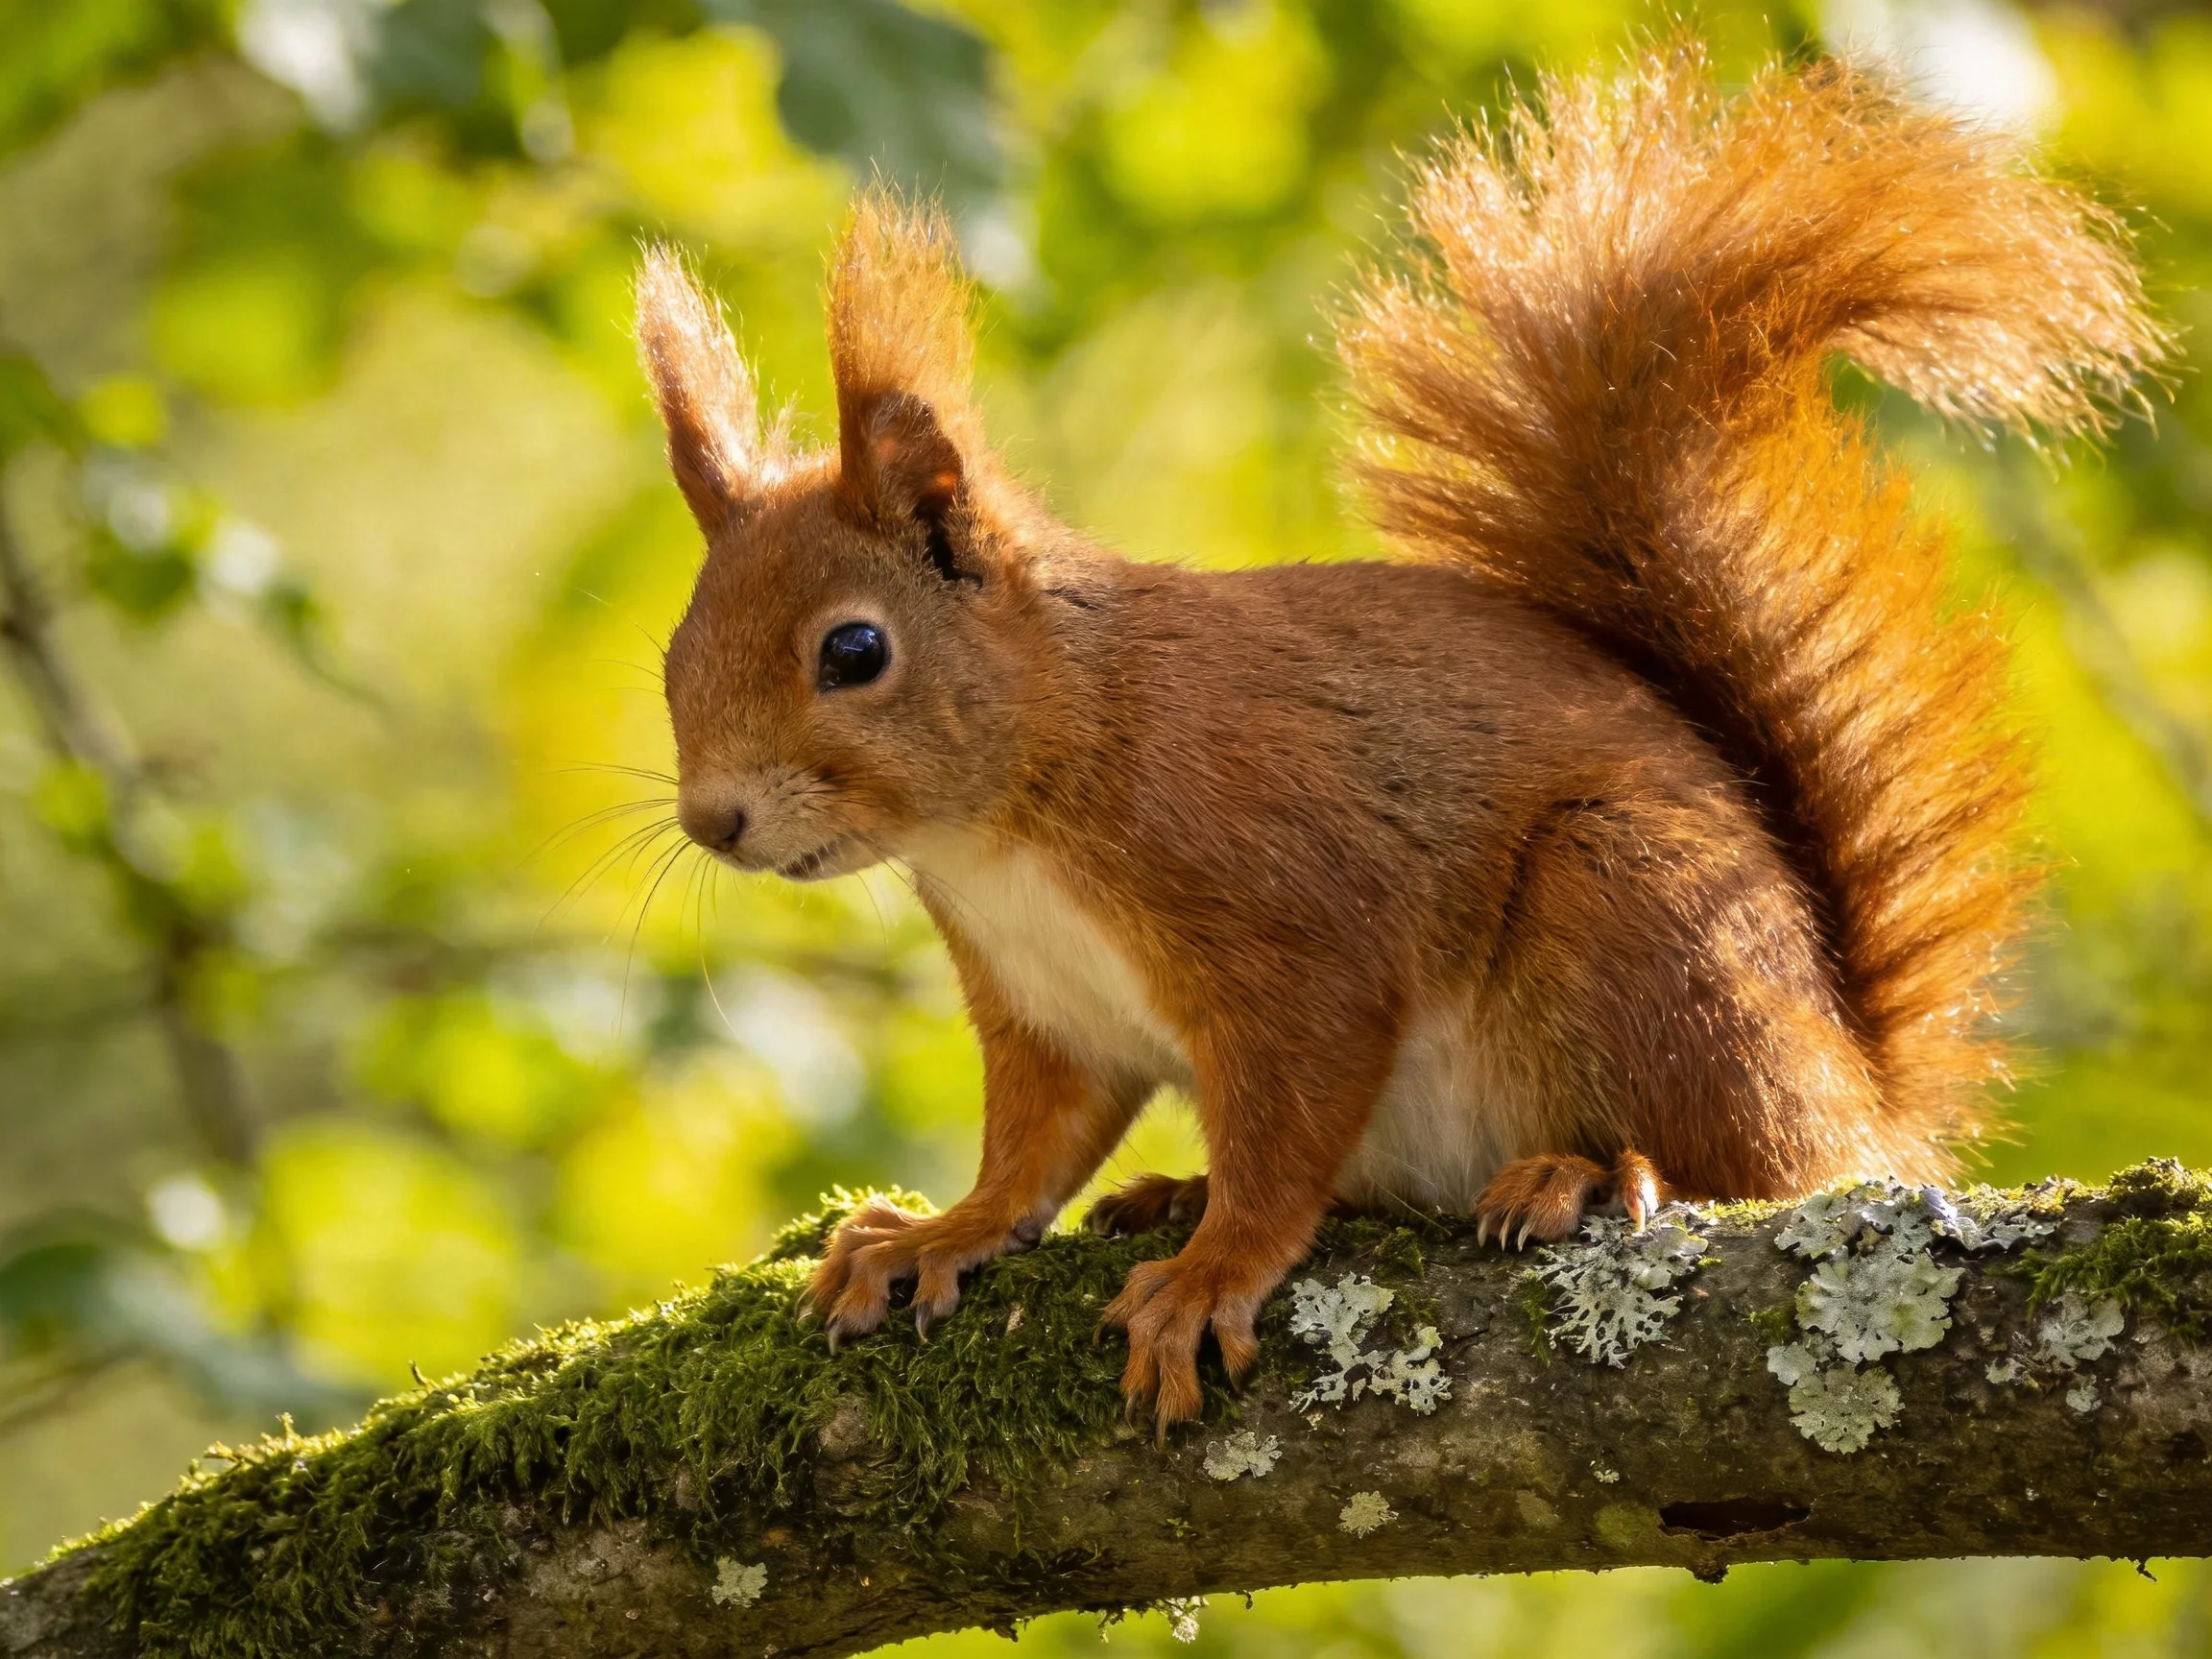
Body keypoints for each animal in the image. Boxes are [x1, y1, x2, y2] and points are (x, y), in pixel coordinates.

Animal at [633, 47, 2165, 1431]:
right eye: (673, 651)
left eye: (854, 653)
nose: (714, 821)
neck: (1010, 821)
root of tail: (1863, 1099)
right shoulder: (1046, 1008)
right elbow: (1035, 1152)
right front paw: (936, 1233)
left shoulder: (1290, 926)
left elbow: (1290, 1120)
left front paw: (1215, 1271)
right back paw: (1176, 1190)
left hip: (1642, 921)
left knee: (1749, 1169)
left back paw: (1584, 1176)